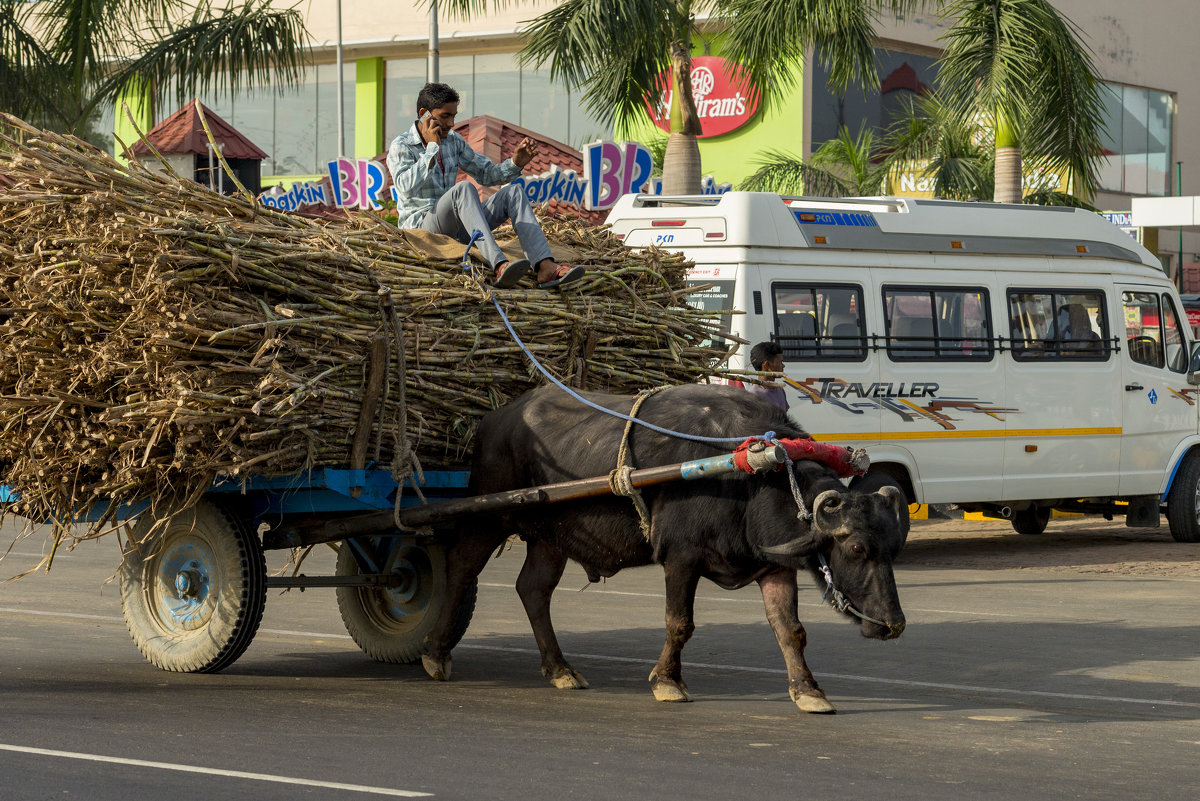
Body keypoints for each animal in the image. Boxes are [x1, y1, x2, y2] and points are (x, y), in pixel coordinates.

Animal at [422, 383, 907, 714]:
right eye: (857, 548)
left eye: (891, 548)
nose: (894, 625)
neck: (747, 477)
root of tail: (497, 417)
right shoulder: (681, 557)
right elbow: (680, 623)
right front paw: (667, 682)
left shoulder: (775, 566)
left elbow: (790, 630)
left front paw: (808, 691)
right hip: (489, 516)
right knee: (461, 566)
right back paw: (435, 653)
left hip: (549, 535)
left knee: (533, 589)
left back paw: (560, 670)